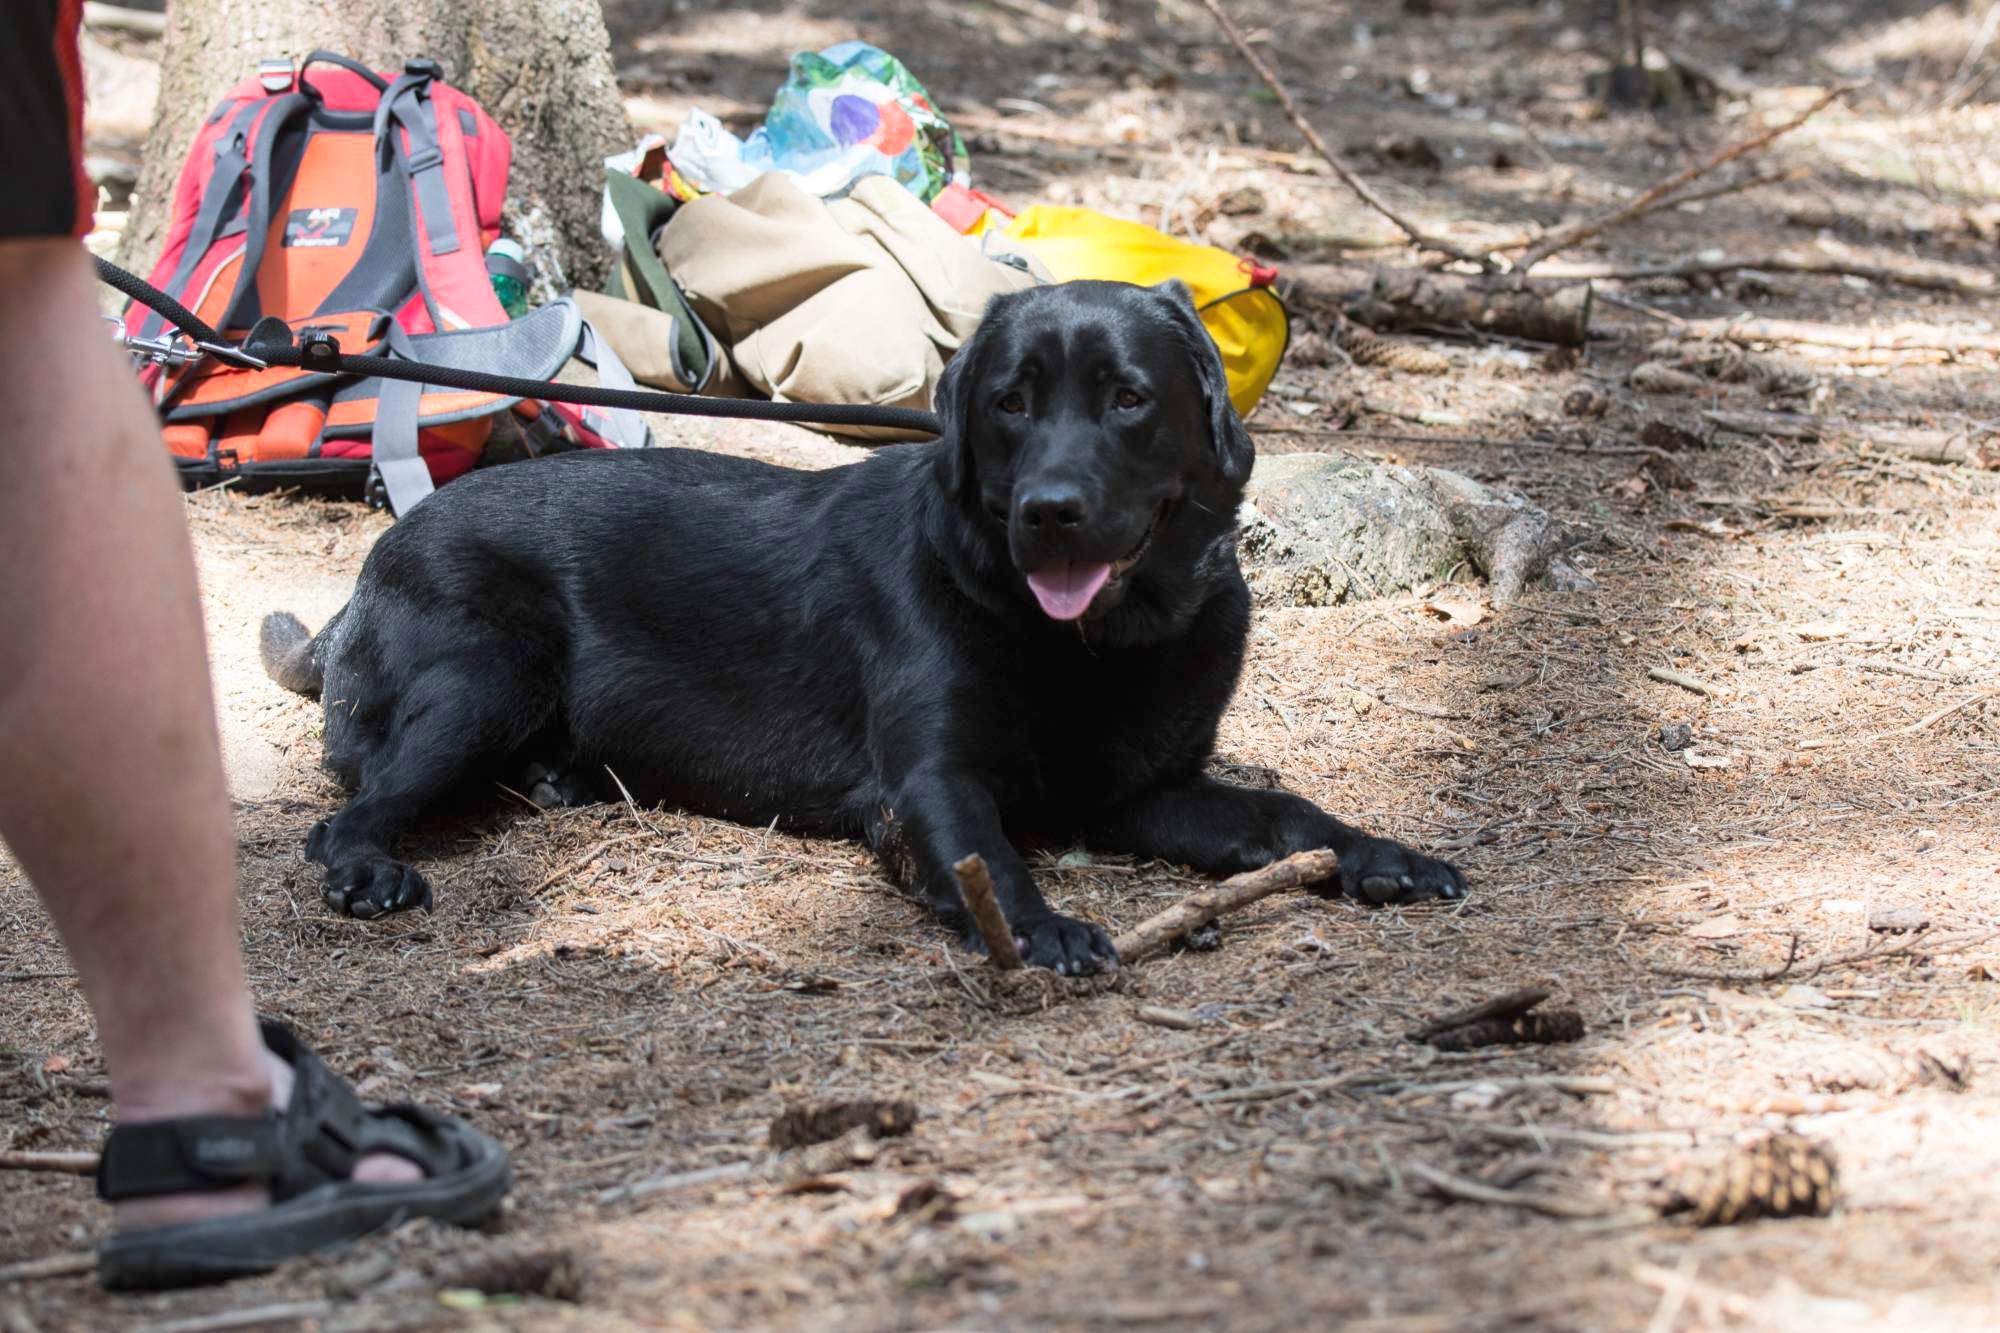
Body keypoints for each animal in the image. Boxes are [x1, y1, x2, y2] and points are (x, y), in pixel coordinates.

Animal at [258, 280, 1464, 964]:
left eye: (1128, 398)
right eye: (1009, 402)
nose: (1049, 512)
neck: (1086, 648)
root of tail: (361, 580)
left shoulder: (1147, 793)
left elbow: (1290, 816)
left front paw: (1386, 854)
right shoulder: (926, 783)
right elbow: (982, 852)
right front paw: (1040, 928)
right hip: (487, 672)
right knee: (347, 811)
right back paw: (369, 868)